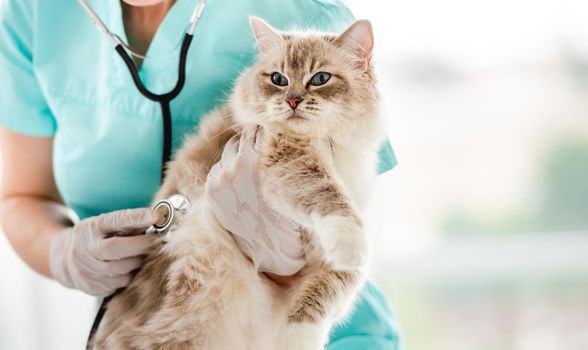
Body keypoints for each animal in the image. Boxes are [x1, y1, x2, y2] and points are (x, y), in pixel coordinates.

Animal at [94, 16, 384, 350]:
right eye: (278, 79)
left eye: (320, 78)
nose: (293, 101)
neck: (332, 147)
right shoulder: (289, 157)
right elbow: (329, 197)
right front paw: (353, 243)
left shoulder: (330, 264)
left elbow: (323, 297)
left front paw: (297, 337)